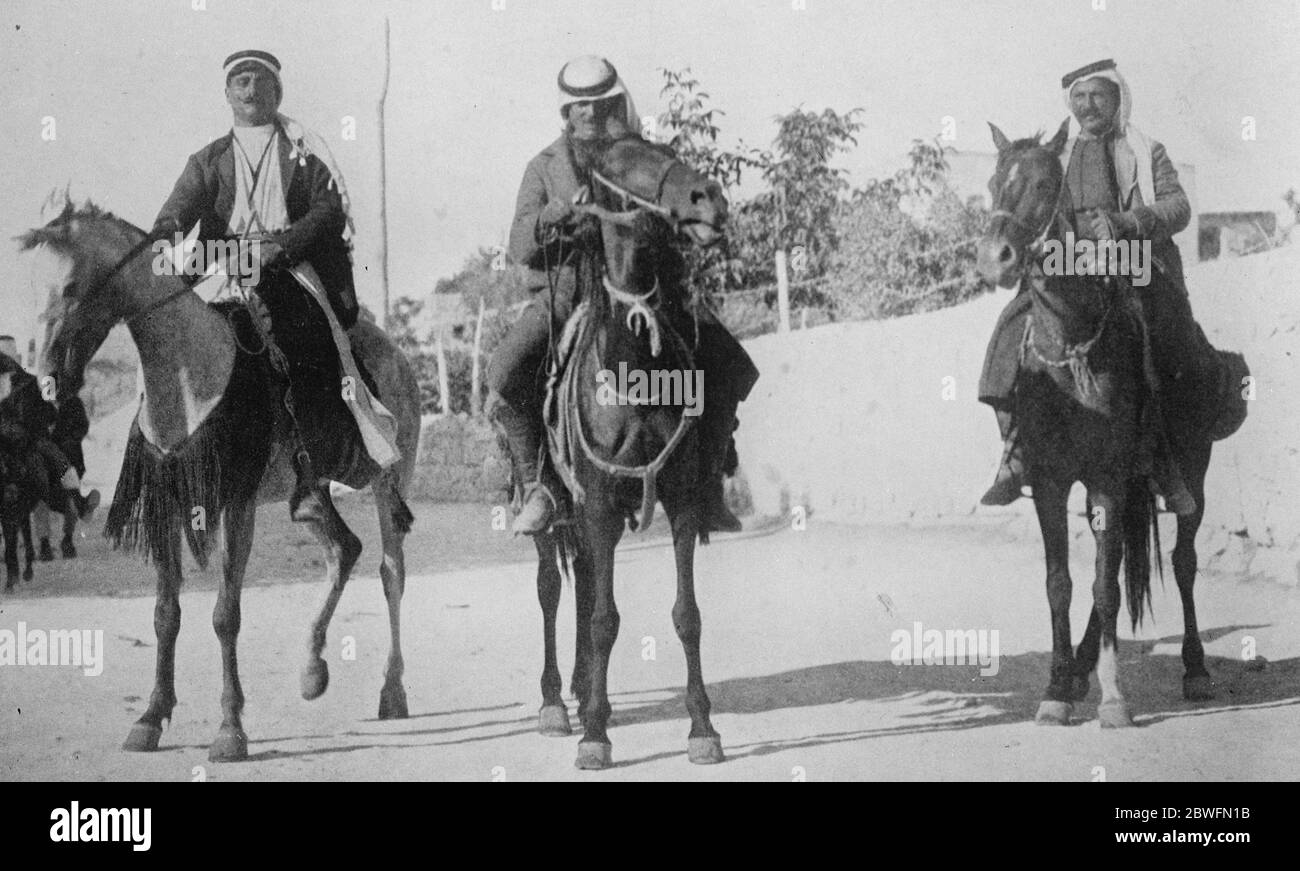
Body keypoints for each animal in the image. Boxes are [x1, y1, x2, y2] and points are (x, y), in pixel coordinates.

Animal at [22, 201, 421, 759]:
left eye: (72, 286)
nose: (45, 383)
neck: (194, 375)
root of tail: (400, 359)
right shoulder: (168, 503)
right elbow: (166, 614)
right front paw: (150, 717)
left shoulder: (237, 503)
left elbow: (224, 615)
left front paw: (230, 729)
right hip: (310, 493)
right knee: (344, 549)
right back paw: (312, 669)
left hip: (388, 478)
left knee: (390, 572)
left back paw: (392, 689)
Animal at [512, 130, 733, 769]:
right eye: (618, 163)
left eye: (663, 148)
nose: (708, 199)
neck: (632, 370)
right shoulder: (602, 505)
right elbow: (604, 619)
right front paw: (593, 738)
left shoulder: (679, 501)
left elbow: (686, 615)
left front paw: (702, 727)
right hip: (556, 510)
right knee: (552, 589)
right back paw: (557, 703)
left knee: (585, 582)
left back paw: (587, 691)